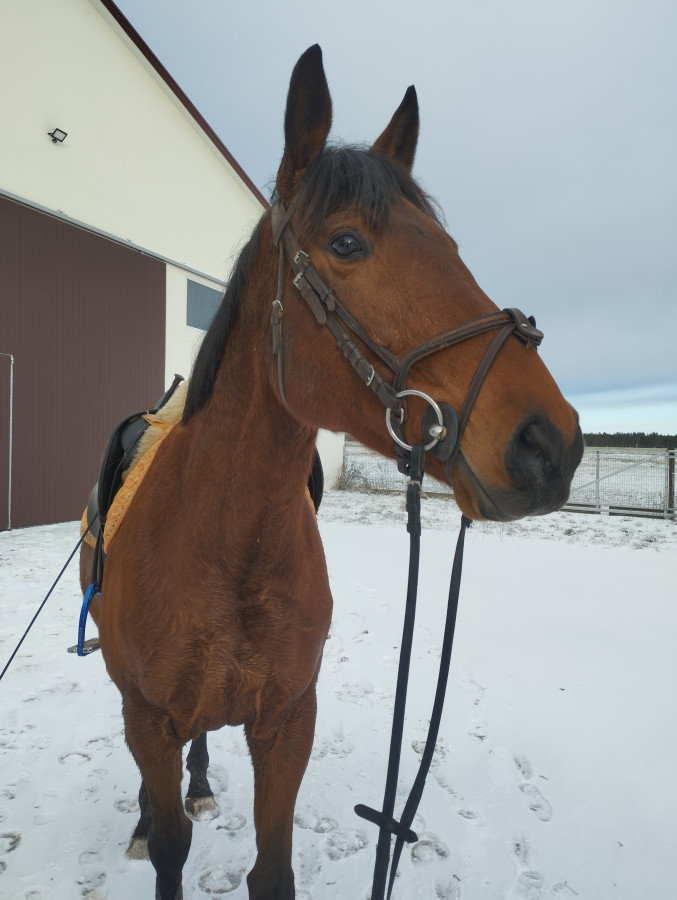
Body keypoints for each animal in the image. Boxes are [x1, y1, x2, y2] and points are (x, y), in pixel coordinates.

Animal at [80, 44, 583, 900]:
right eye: (347, 244)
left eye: (451, 248)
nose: (548, 444)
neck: (223, 546)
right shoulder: (148, 716)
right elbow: (173, 844)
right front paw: (156, 827)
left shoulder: (287, 724)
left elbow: (271, 869)